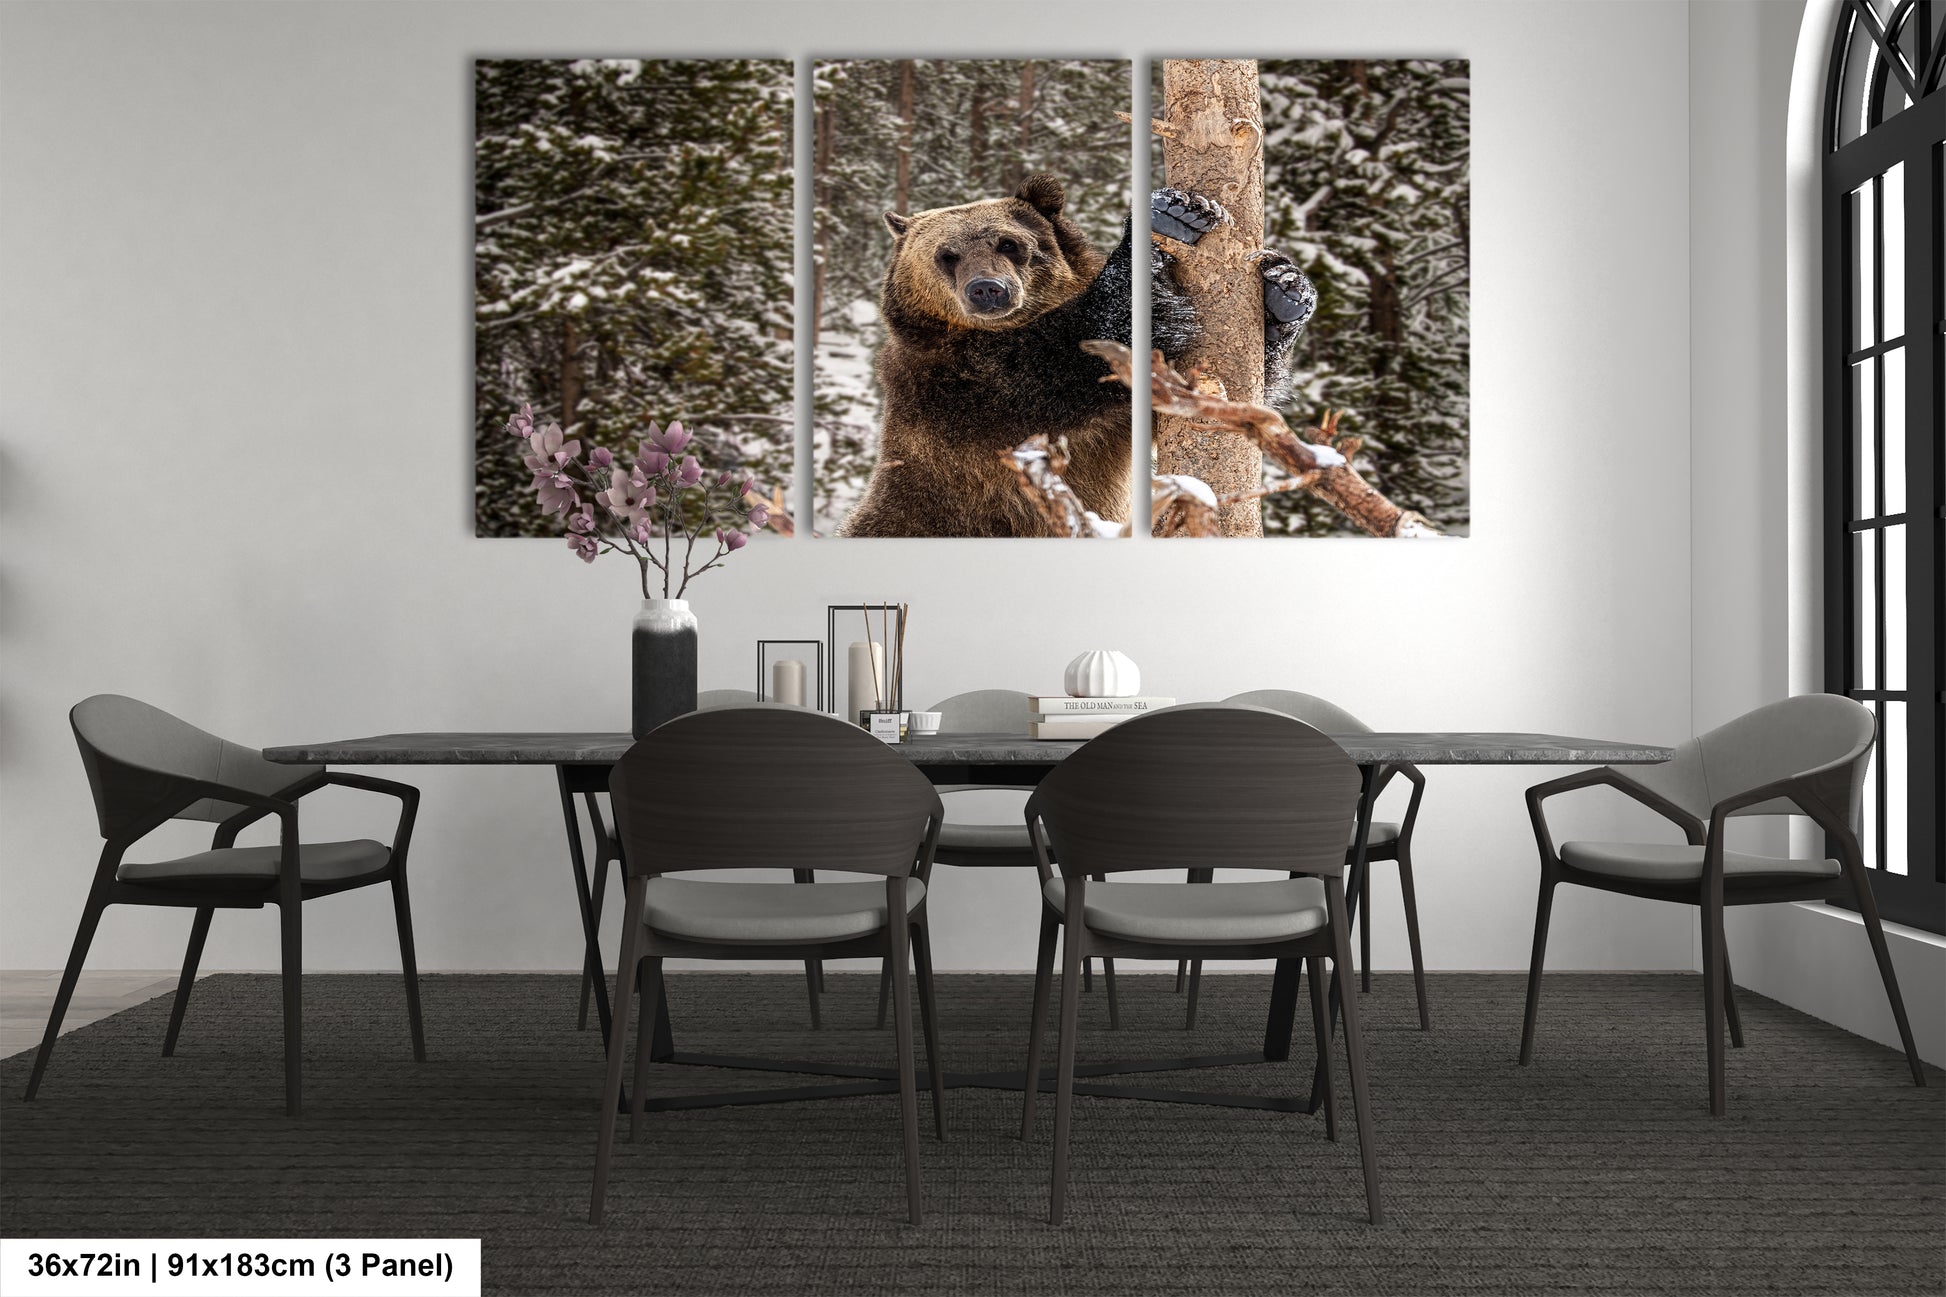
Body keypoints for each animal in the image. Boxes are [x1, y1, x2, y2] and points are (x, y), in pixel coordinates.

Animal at [840, 171, 1315, 533]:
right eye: (947, 255)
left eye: (1008, 243)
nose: (987, 289)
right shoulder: (966, 388)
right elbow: (1079, 353)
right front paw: (1167, 218)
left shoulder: (1118, 422)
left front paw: (1283, 291)